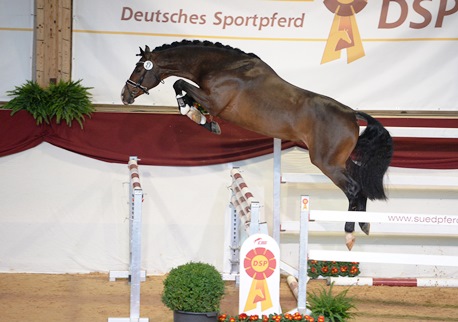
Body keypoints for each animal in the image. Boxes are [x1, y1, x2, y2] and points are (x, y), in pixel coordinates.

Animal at [120, 39, 392, 249]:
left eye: (138, 69)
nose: (125, 96)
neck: (223, 67)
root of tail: (351, 115)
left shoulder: (213, 100)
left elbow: (180, 86)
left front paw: (195, 115)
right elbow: (187, 94)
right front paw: (204, 121)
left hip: (327, 163)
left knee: (354, 190)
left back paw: (349, 234)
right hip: (341, 162)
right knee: (359, 191)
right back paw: (363, 226)